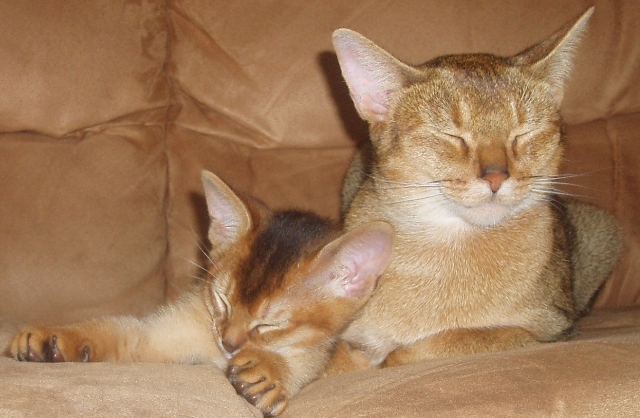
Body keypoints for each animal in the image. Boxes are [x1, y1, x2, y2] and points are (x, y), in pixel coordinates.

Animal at [8, 170, 394, 416]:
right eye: (222, 301)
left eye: (271, 324)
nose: (229, 343)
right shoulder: (159, 337)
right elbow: (119, 331)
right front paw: (55, 338)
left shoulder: (337, 350)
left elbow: (317, 360)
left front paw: (273, 370)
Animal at [329, 6, 623, 370]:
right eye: (451, 135)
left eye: (524, 132)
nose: (496, 177)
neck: (450, 247)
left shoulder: (551, 328)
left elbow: (453, 341)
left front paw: (394, 354)